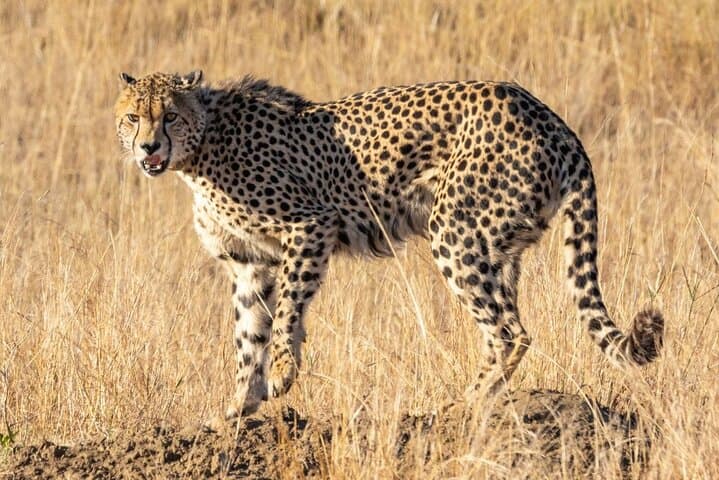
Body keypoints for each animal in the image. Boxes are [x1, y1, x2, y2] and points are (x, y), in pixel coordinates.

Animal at [115, 70, 664, 426]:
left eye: (169, 116)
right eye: (133, 118)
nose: (148, 147)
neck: (202, 148)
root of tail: (549, 115)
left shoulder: (310, 227)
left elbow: (288, 312)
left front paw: (283, 374)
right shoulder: (250, 264)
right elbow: (248, 337)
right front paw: (238, 408)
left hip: (453, 229)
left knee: (510, 332)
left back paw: (461, 407)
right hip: (500, 245)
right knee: (508, 327)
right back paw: (483, 402)